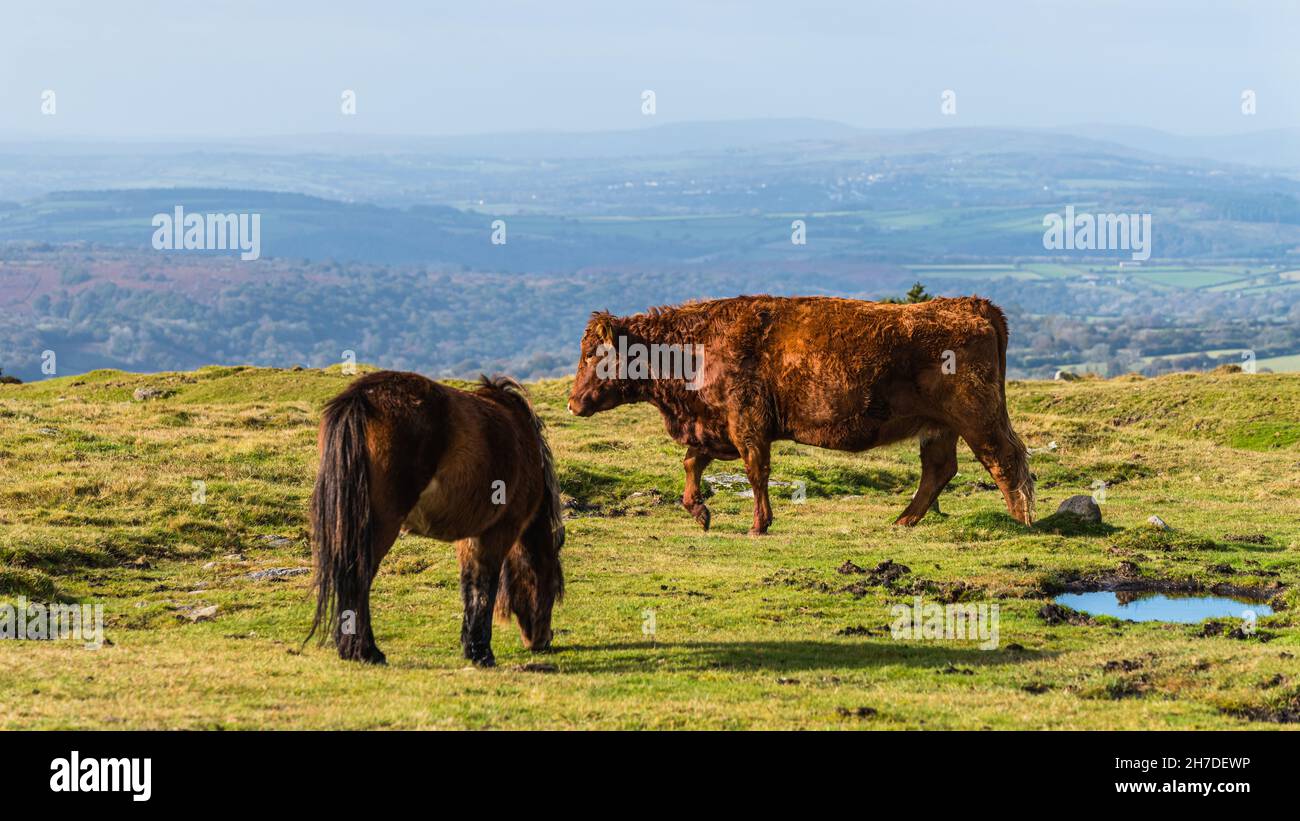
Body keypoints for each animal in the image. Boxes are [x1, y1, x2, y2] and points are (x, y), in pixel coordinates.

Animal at [312, 371, 566, 665]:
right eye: (554, 585)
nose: (542, 639)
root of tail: (360, 398)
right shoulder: (499, 531)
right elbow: (485, 587)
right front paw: (482, 653)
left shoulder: (471, 536)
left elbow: (470, 585)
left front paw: (471, 647)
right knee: (358, 578)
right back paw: (366, 651)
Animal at [564, 294, 1029, 532]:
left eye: (593, 353)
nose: (572, 402)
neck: (697, 344)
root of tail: (971, 304)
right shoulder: (716, 426)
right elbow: (692, 462)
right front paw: (699, 511)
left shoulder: (747, 425)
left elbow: (756, 472)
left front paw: (759, 524)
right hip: (941, 427)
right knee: (939, 469)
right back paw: (904, 520)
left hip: (977, 417)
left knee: (1005, 459)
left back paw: (1022, 519)